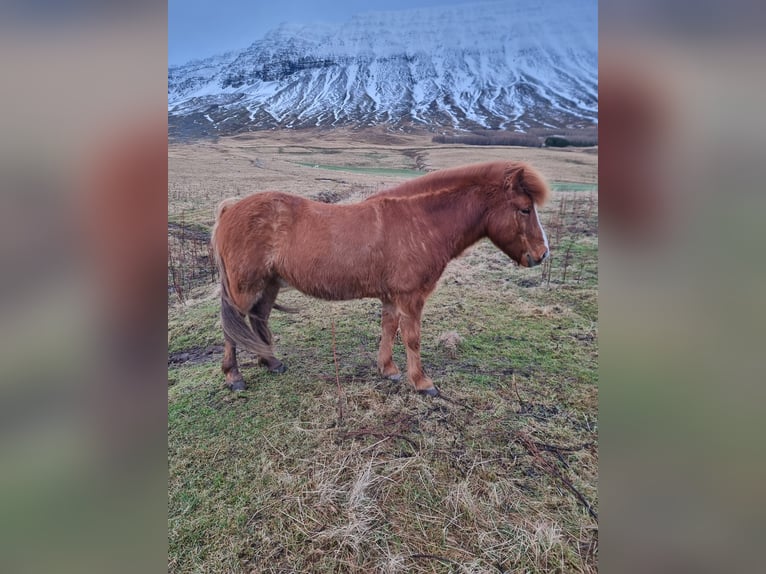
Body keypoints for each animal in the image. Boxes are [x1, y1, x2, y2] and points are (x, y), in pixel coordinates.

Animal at [210, 160, 550, 396]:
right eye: (524, 209)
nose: (542, 254)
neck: (419, 222)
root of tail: (230, 208)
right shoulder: (411, 298)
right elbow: (411, 337)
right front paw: (422, 382)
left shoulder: (391, 297)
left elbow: (389, 328)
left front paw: (388, 369)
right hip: (245, 287)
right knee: (232, 328)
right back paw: (234, 376)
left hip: (268, 285)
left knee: (259, 319)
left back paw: (272, 363)